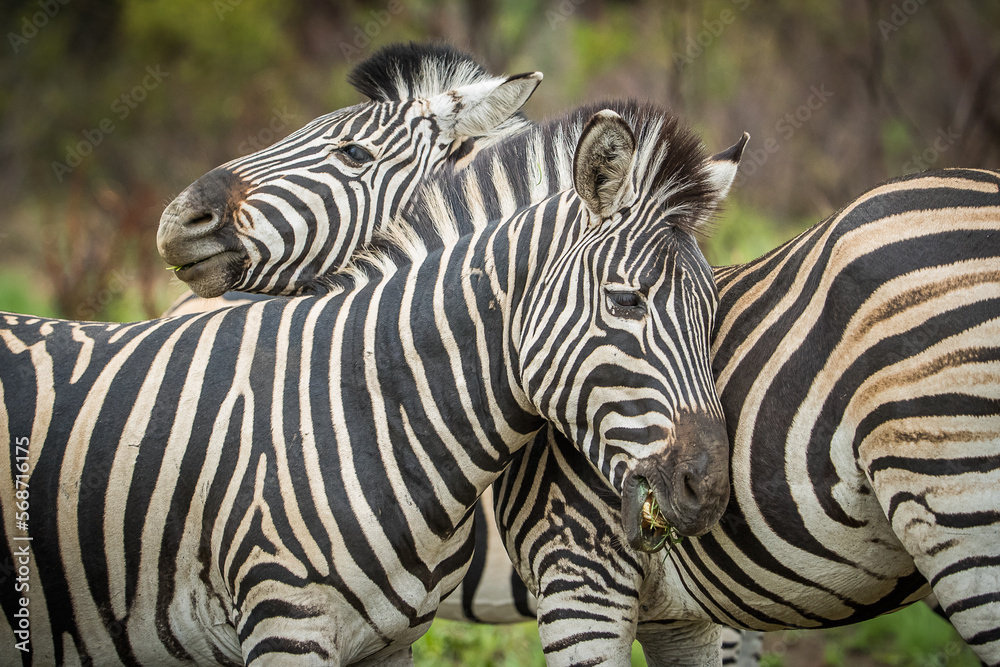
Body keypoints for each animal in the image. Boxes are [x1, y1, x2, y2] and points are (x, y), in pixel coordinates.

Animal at [0, 103, 736, 664]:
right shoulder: (285, 625)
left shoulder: (389, 641)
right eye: (627, 302)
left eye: (712, 312)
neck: (361, 413)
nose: (709, 489)